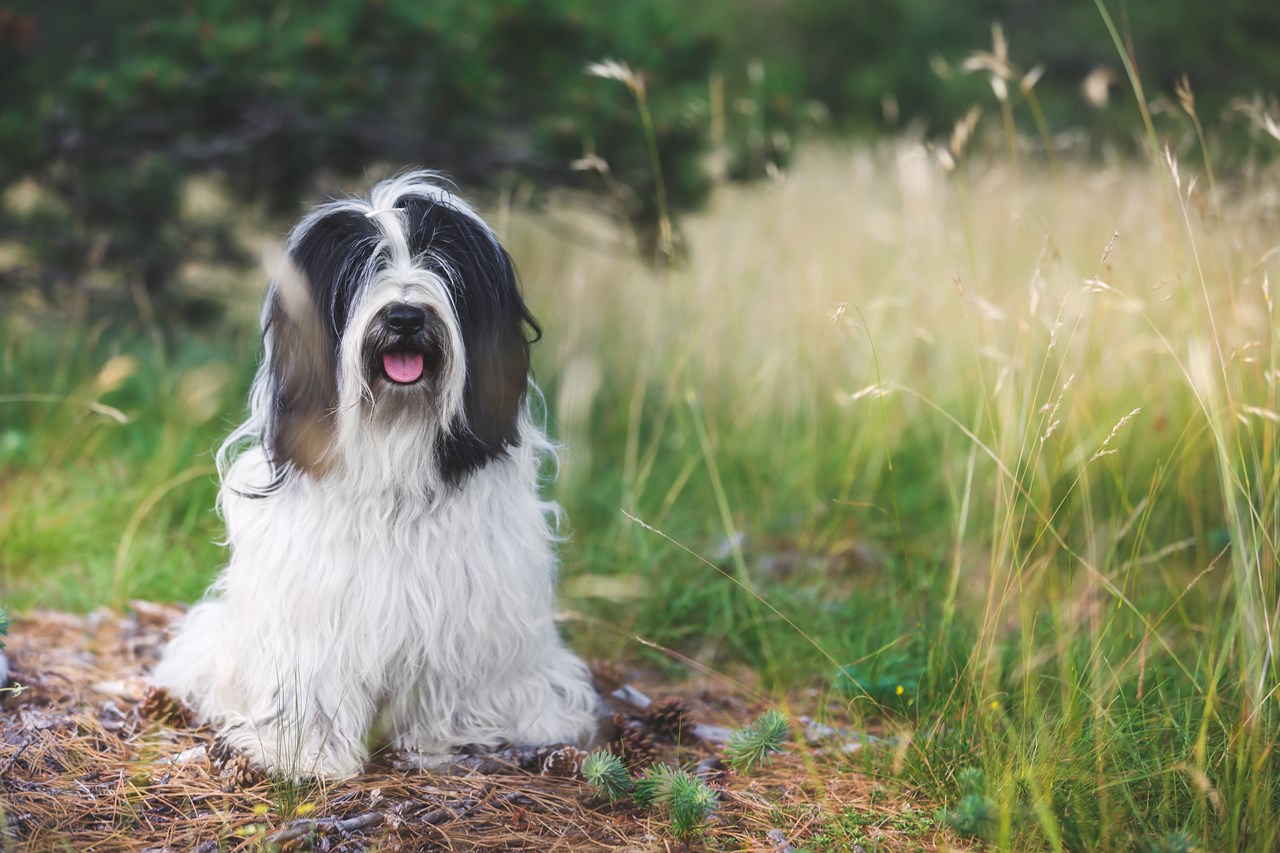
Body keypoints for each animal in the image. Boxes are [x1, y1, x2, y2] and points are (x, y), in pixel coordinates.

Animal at [152, 172, 601, 778]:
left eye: (442, 260)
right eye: (364, 265)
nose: (405, 317)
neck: (393, 446)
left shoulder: (461, 603)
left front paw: (443, 739)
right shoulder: (313, 600)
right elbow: (312, 677)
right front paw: (303, 751)